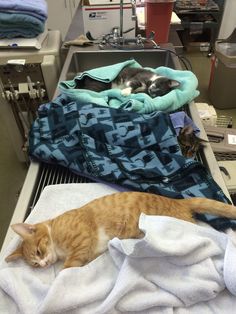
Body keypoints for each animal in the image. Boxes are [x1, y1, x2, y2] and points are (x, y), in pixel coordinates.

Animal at [5, 191, 236, 270]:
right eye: (35, 264)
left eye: (38, 252)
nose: (43, 264)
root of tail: (179, 201)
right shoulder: (87, 251)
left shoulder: (82, 239)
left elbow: (68, 268)